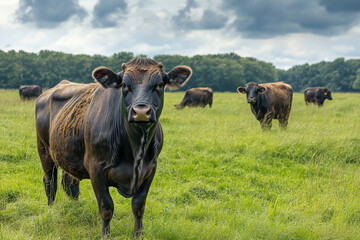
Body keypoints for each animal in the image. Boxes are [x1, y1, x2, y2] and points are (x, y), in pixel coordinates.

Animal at [35, 58, 193, 238]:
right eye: (124, 85)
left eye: (159, 84)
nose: (141, 112)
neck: (135, 150)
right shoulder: (95, 168)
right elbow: (106, 207)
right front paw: (105, 235)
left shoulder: (151, 168)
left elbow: (139, 205)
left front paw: (138, 234)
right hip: (44, 151)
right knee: (50, 182)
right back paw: (51, 210)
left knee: (70, 183)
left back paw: (76, 209)